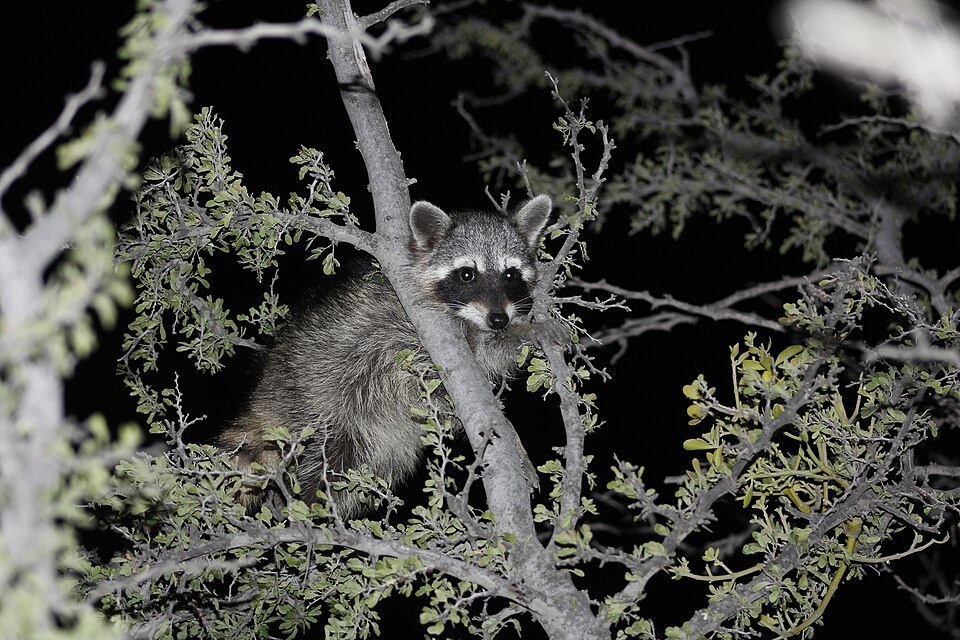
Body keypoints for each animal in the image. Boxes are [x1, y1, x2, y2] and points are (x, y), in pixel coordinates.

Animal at [215, 195, 552, 518]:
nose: (499, 319)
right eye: (467, 274)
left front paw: (522, 331)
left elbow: (487, 354)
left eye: (510, 275)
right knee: (320, 457)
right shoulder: (411, 334)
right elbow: (446, 381)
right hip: (315, 397)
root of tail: (264, 395)